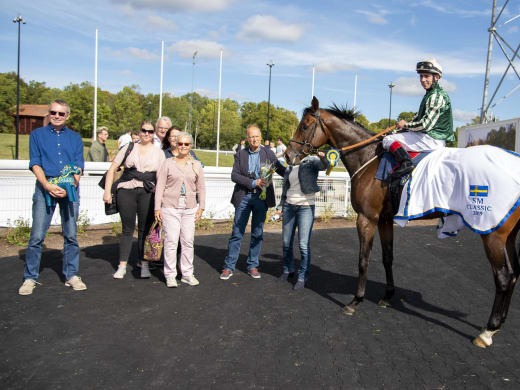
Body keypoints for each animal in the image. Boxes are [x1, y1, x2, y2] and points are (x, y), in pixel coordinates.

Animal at [284, 96, 520, 348]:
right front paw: (388, 296)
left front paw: (355, 301)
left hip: (492, 233)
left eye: (305, 125)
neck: (369, 158)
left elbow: (363, 260)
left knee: (503, 277)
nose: (288, 155)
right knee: (514, 273)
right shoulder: (385, 220)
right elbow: (387, 258)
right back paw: (498, 324)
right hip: (508, 234)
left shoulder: (366, 218)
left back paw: (488, 331)